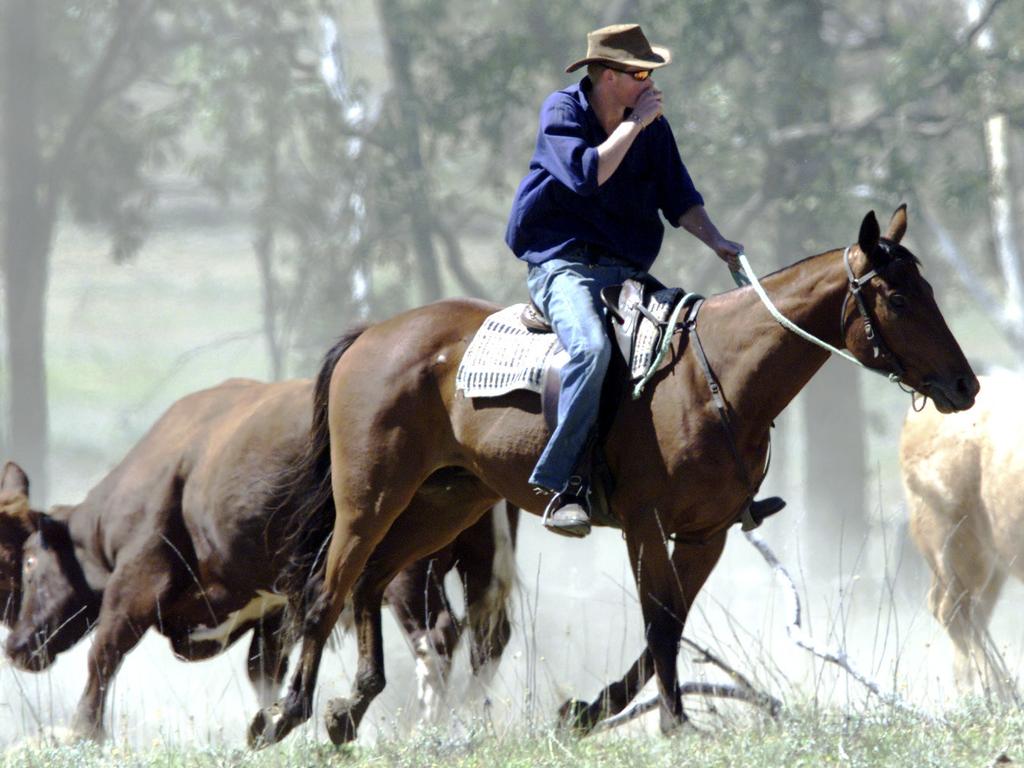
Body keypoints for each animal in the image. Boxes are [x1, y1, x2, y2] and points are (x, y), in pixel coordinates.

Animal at [251, 207, 978, 749]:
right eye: (899, 296)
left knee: (370, 581)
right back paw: (284, 715)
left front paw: (587, 712)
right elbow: (658, 619)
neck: (714, 378)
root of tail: (373, 335)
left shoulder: (707, 533)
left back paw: (348, 709)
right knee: (327, 588)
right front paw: (675, 723)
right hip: (370, 498)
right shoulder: (644, 524)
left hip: (445, 501)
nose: (964, 385)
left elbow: (670, 624)